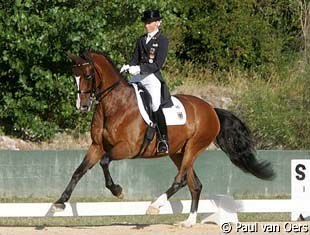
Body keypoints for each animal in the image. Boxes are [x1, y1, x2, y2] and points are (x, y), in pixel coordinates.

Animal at [52, 50, 274, 228]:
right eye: (74, 77)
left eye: (88, 75)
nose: (82, 106)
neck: (115, 105)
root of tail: (211, 109)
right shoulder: (97, 146)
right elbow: (78, 171)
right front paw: (60, 203)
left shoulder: (128, 148)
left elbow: (105, 162)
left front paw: (117, 191)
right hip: (178, 152)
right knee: (195, 184)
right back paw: (188, 222)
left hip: (194, 147)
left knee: (181, 180)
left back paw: (155, 206)